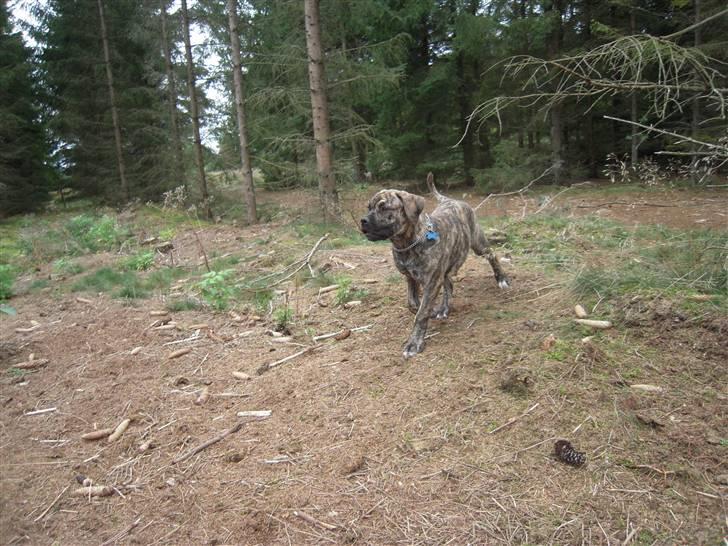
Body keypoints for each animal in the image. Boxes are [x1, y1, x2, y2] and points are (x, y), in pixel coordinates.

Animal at [360, 171, 510, 356]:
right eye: (368, 207)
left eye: (384, 207)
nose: (363, 220)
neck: (408, 243)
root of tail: (451, 200)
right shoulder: (410, 277)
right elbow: (413, 304)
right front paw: (428, 310)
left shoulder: (432, 281)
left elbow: (421, 313)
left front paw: (414, 342)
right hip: (447, 264)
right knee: (449, 284)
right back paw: (444, 308)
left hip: (478, 243)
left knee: (492, 255)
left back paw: (501, 278)